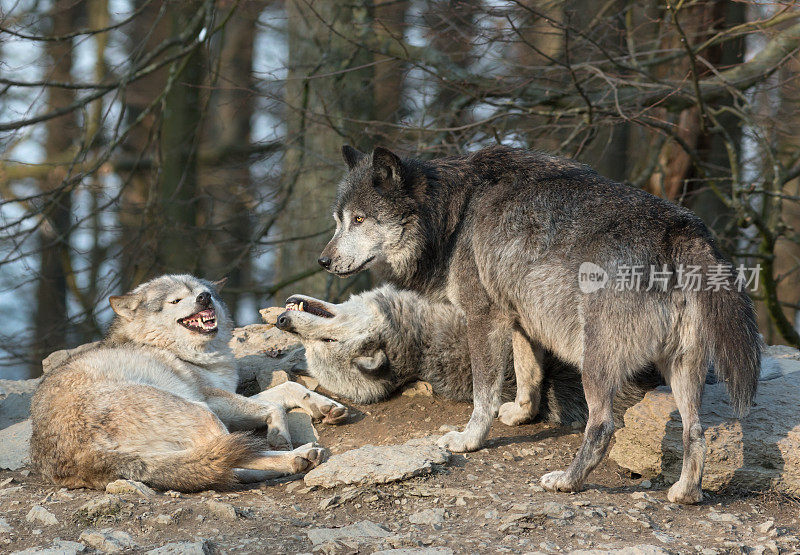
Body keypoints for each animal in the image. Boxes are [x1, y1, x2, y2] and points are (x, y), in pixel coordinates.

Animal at [29, 274, 348, 490]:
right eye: (176, 300)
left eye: (203, 292)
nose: (204, 297)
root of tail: (82, 456)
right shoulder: (210, 398)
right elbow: (276, 404)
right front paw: (279, 433)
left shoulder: (223, 394)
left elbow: (289, 388)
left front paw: (326, 407)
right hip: (198, 410)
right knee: (235, 457)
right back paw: (298, 456)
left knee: (227, 466)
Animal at [316, 143, 760, 504]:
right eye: (338, 220)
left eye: (360, 219)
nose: (322, 260)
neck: (452, 215)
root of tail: (683, 231)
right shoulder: (520, 321)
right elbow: (528, 374)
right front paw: (520, 414)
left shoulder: (483, 317)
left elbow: (482, 394)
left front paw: (470, 440)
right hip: (681, 368)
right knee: (695, 432)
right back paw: (686, 493)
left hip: (595, 362)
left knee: (603, 426)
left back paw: (568, 481)